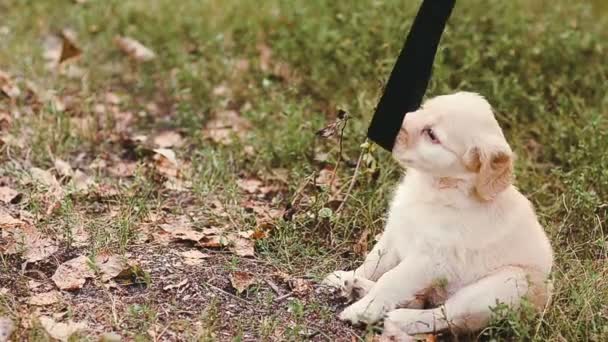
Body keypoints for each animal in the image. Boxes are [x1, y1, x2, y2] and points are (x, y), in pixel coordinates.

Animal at [326, 91, 552, 340]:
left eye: (432, 135)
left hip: (501, 286)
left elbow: (390, 280)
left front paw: (363, 310)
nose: (384, 125)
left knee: (444, 315)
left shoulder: (430, 259)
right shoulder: (396, 232)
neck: (435, 187)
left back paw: (397, 318)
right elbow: (374, 262)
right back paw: (357, 285)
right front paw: (346, 276)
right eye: (421, 108)